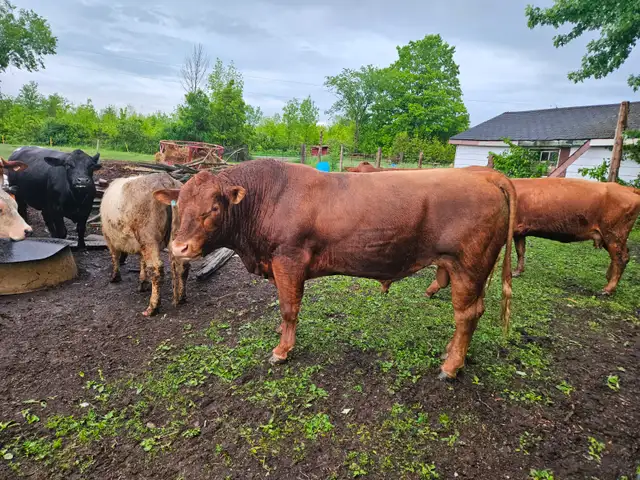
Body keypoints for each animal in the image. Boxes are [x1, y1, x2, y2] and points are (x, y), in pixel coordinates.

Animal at [100, 173, 189, 316]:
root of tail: (165, 180)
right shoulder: (140, 245)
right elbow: (142, 260)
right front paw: (143, 282)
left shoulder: (109, 237)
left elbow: (115, 257)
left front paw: (115, 277)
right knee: (183, 265)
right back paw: (181, 297)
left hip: (148, 237)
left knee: (157, 270)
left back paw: (152, 307)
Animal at [154, 159, 516, 380]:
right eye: (179, 204)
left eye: (214, 208)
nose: (180, 248)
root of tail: (484, 175)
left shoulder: (289, 260)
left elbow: (289, 308)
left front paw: (282, 350)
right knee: (473, 312)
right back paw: (452, 353)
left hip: (468, 265)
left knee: (466, 315)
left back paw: (450, 366)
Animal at [348, 163, 640, 296]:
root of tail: (627, 189)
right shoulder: (520, 231)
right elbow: (521, 252)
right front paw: (519, 272)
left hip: (614, 233)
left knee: (622, 257)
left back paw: (608, 288)